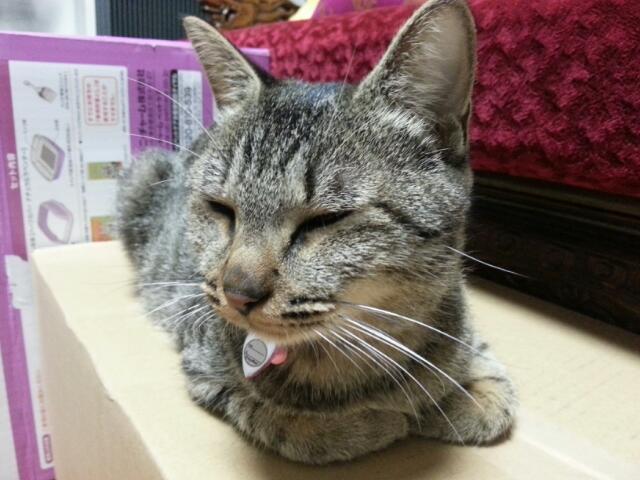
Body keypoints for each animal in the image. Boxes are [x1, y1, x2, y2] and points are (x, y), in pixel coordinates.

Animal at [116, 0, 516, 465]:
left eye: (325, 219)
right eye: (221, 208)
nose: (238, 293)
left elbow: (474, 366)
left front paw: (466, 386)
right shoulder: (203, 362)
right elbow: (277, 417)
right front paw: (365, 422)